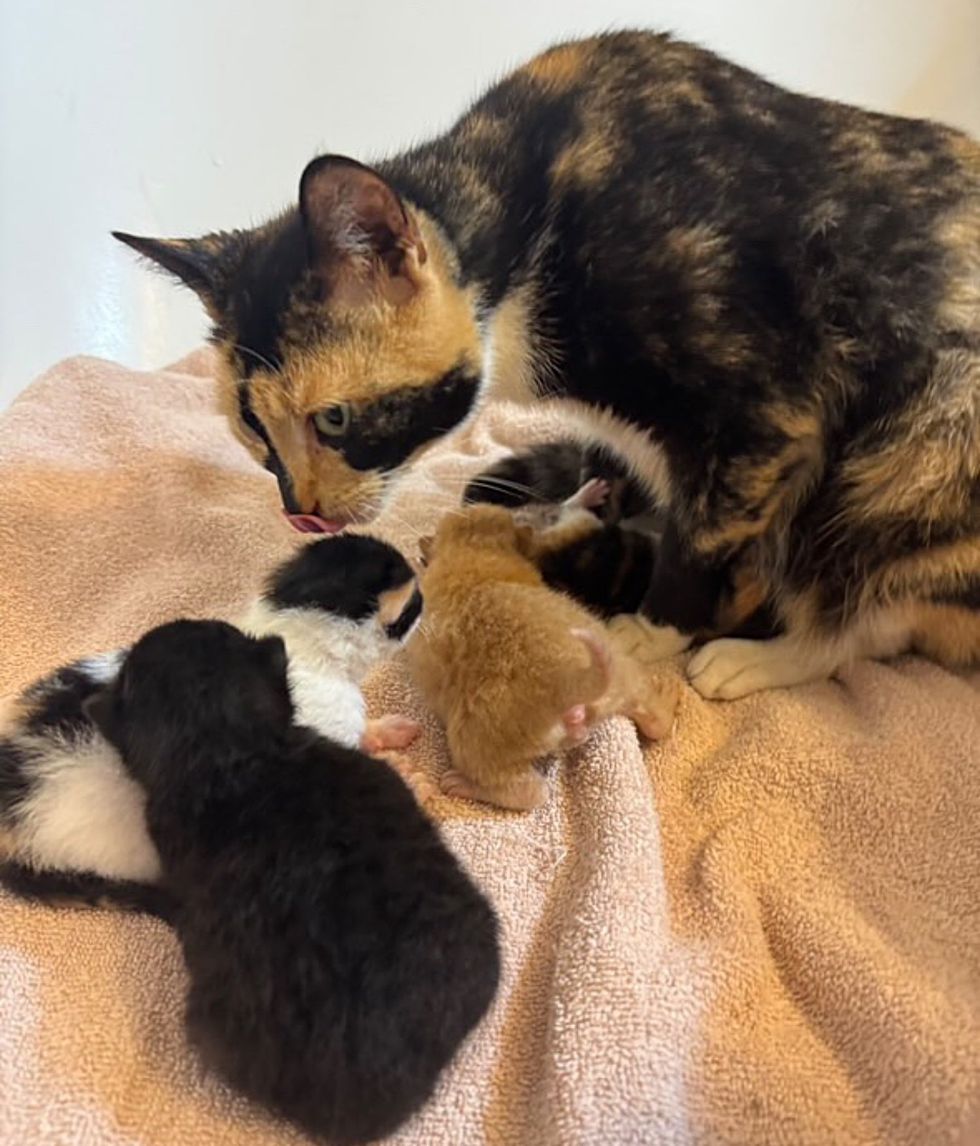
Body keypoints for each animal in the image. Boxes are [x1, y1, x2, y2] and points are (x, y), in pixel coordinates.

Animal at [116, 31, 980, 696]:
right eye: (253, 433)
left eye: (333, 419)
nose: (300, 510)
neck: (531, 215)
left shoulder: (768, 411)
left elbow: (701, 538)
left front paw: (651, 631)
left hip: (920, 444)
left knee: (865, 610)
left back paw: (753, 660)